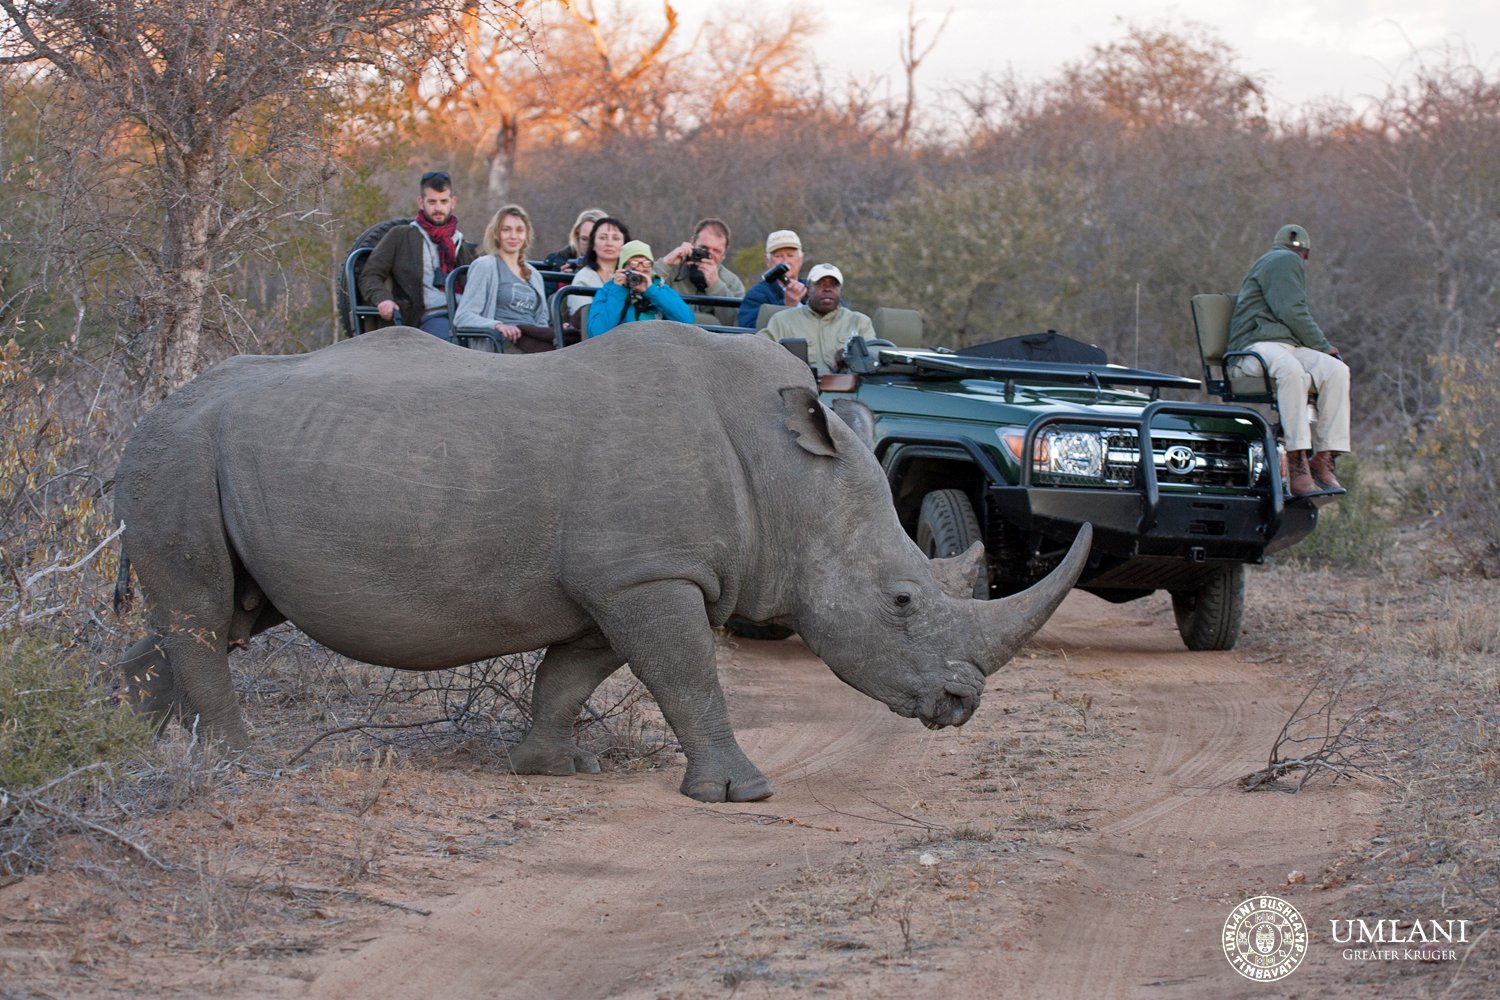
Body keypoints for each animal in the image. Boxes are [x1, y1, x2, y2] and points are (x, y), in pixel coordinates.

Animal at [114, 324, 1089, 802]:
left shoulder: (622, 579)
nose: (961, 704)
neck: (790, 482)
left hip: (204, 457)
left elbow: (575, 672)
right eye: (901, 601)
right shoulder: (649, 574)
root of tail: (151, 409)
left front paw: (550, 770)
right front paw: (741, 795)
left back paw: (146, 745)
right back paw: (236, 764)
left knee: (219, 614)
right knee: (201, 610)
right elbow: (688, 676)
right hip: (178, 453)